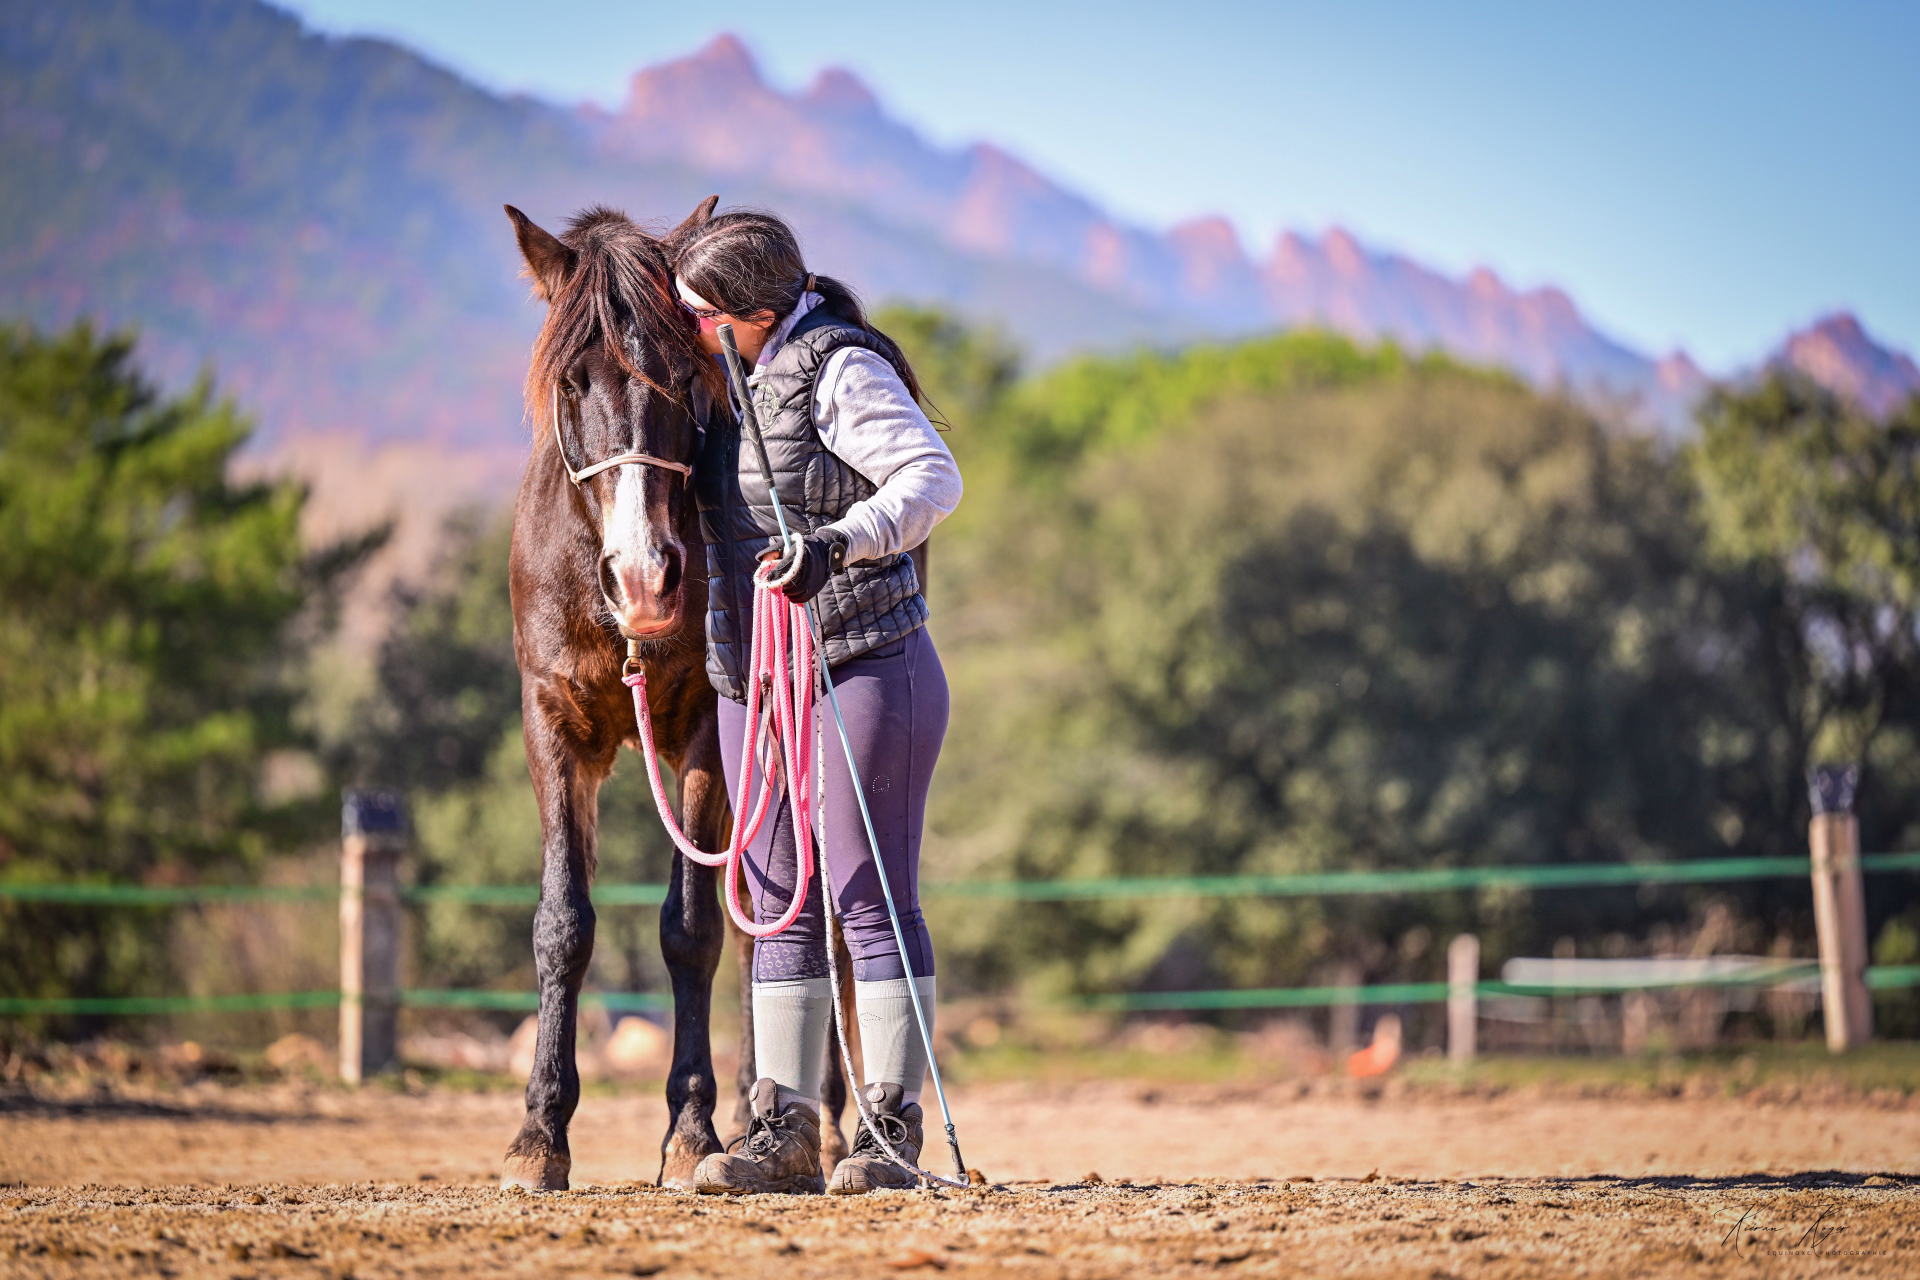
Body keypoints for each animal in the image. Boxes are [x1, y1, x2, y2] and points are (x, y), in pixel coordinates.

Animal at [496, 199, 854, 1191]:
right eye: (572, 382)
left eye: (683, 379)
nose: (645, 578)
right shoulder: (552, 728)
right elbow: (564, 923)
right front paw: (539, 1134)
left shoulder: (699, 729)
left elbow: (690, 928)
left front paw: (691, 1130)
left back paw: (813, 1126)